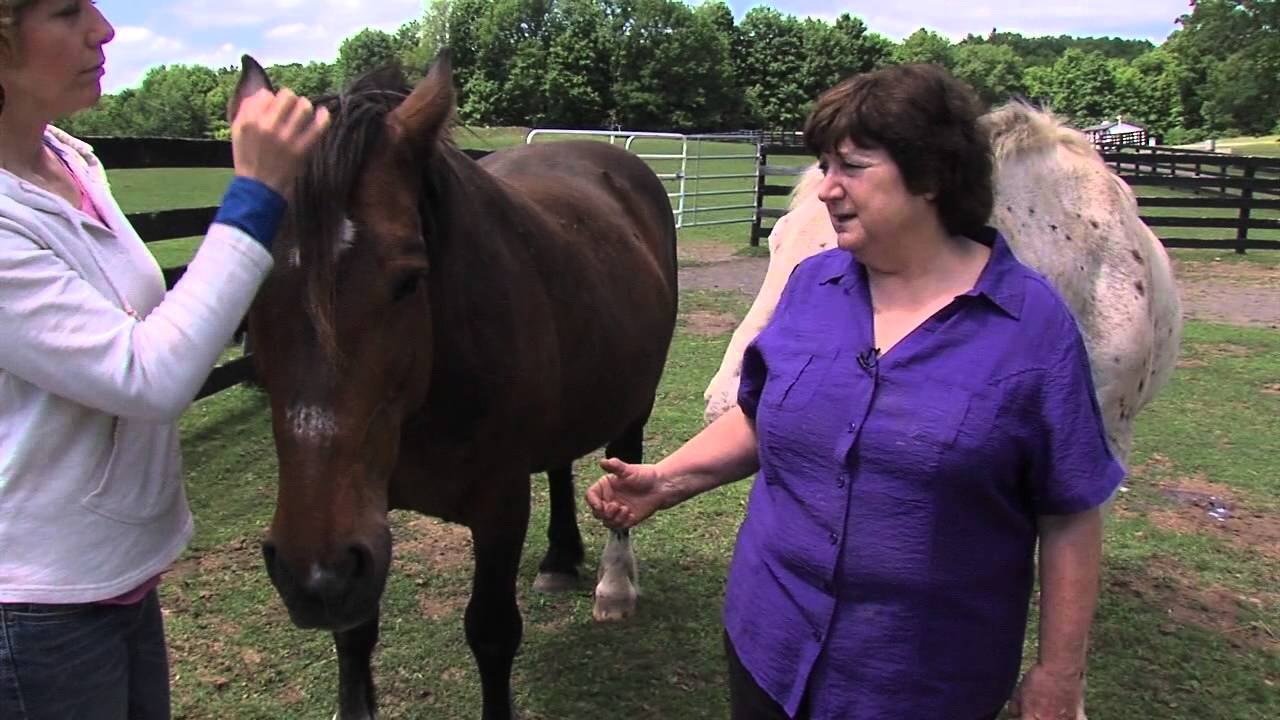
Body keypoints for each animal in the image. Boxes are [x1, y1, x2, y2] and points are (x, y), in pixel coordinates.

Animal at [230, 53, 678, 719]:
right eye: (251, 276)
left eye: (409, 278)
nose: (313, 576)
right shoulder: (363, 521)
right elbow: (355, 633)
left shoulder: (498, 507)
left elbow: (491, 631)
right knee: (560, 465)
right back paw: (559, 558)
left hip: (633, 403)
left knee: (622, 469)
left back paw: (613, 583)